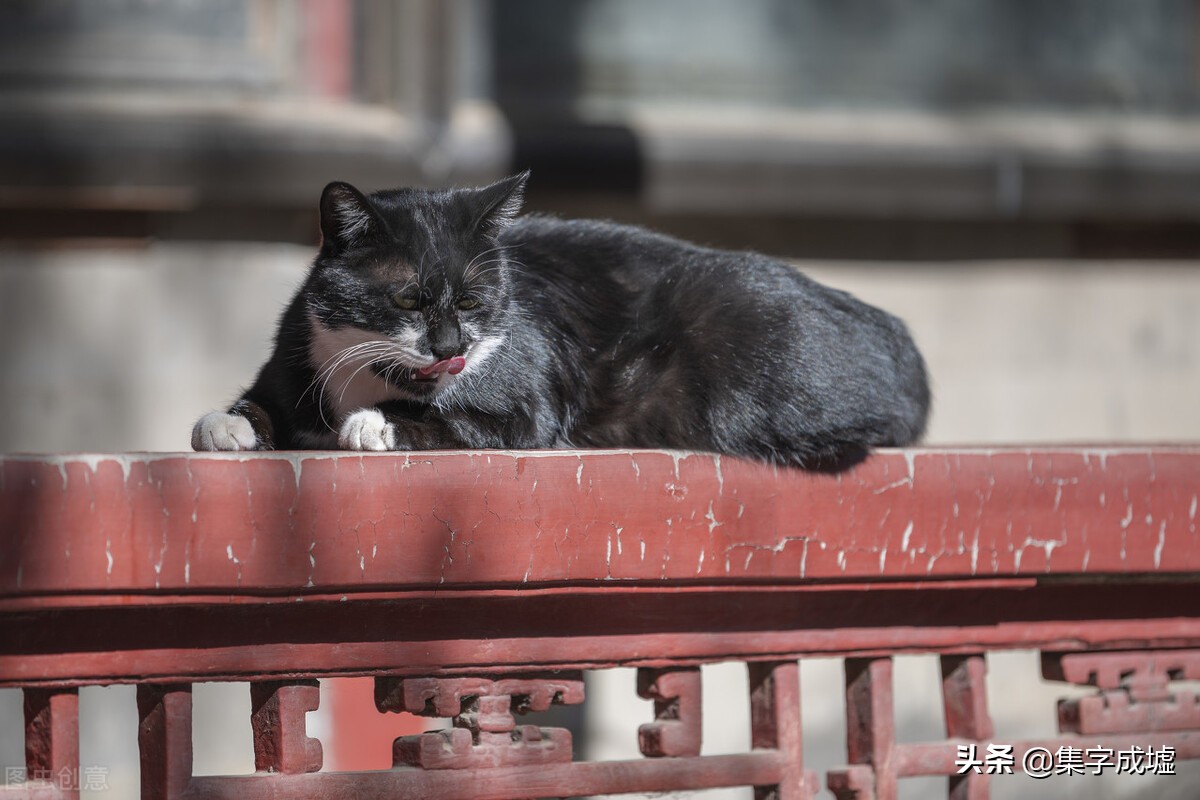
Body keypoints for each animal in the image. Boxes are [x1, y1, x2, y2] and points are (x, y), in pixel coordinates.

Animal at [192, 172, 931, 465]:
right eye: (405, 300)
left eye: (471, 301)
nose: (451, 347)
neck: (370, 373)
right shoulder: (296, 357)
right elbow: (260, 404)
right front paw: (227, 424)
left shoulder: (528, 400)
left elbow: (459, 421)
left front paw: (375, 426)